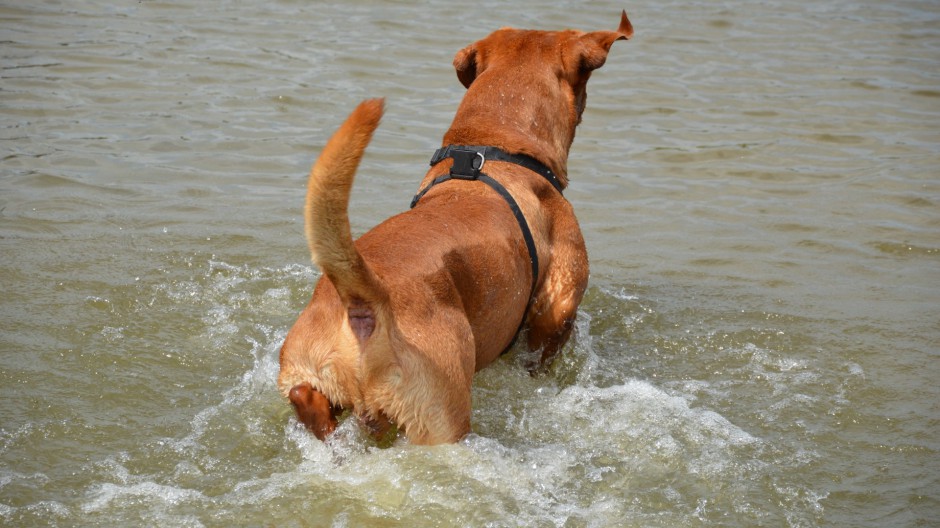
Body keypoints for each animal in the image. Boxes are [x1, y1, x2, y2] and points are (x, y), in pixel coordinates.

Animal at [278, 11, 632, 446]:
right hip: (441, 418)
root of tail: (363, 299)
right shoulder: (555, 313)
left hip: (306, 374)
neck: (494, 143)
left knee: (306, 399)